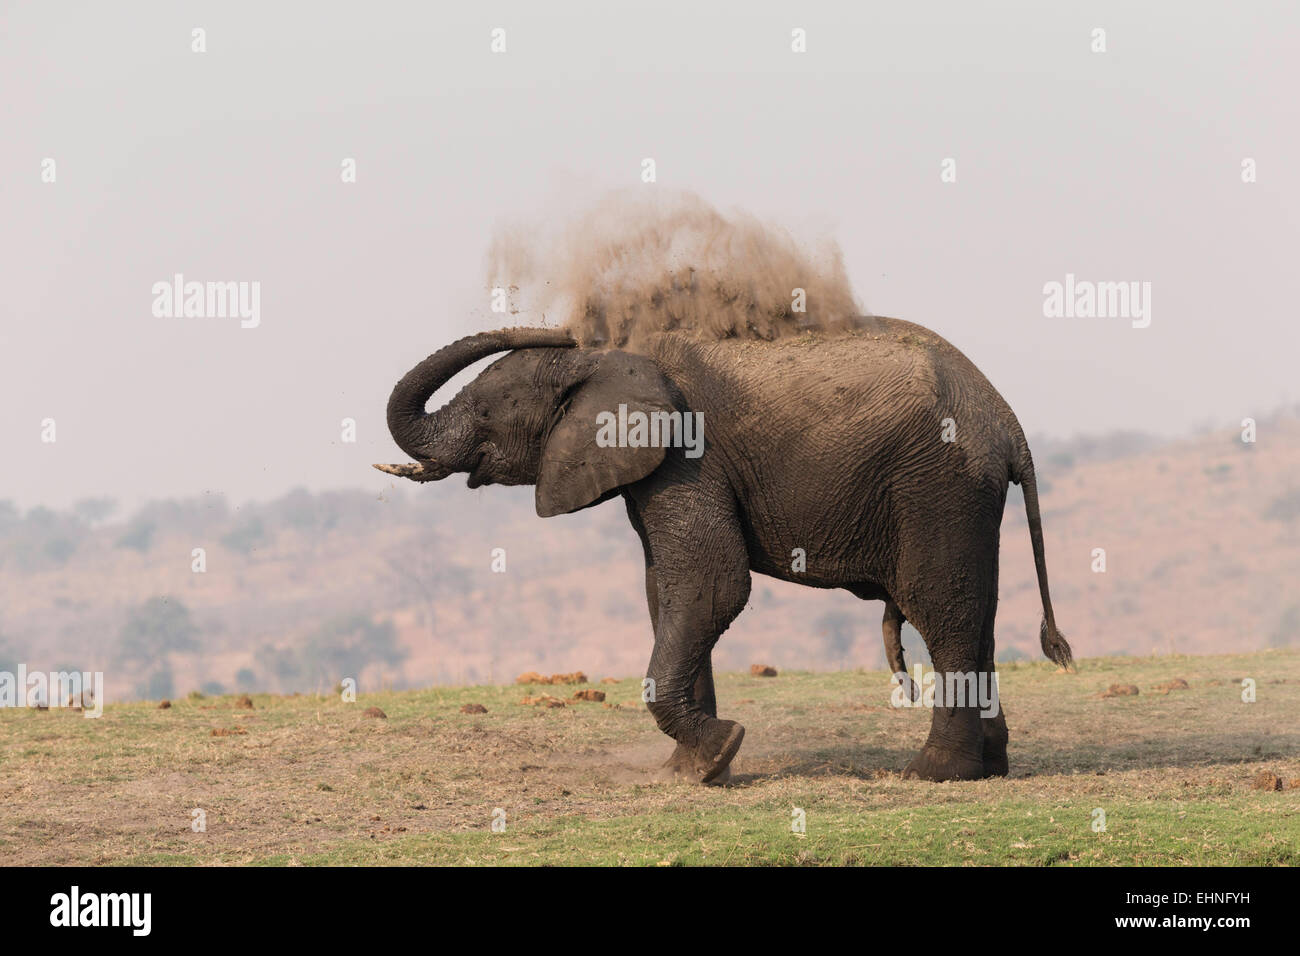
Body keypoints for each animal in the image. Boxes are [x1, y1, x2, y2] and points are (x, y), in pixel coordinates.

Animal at [379, 317, 1076, 780]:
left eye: (486, 414)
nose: (558, 330)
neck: (606, 360)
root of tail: (1008, 423)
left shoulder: (687, 456)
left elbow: (712, 584)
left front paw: (719, 751)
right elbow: (665, 592)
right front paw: (694, 770)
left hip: (937, 484)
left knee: (943, 609)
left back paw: (931, 773)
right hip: (962, 496)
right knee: (977, 613)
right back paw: (991, 766)